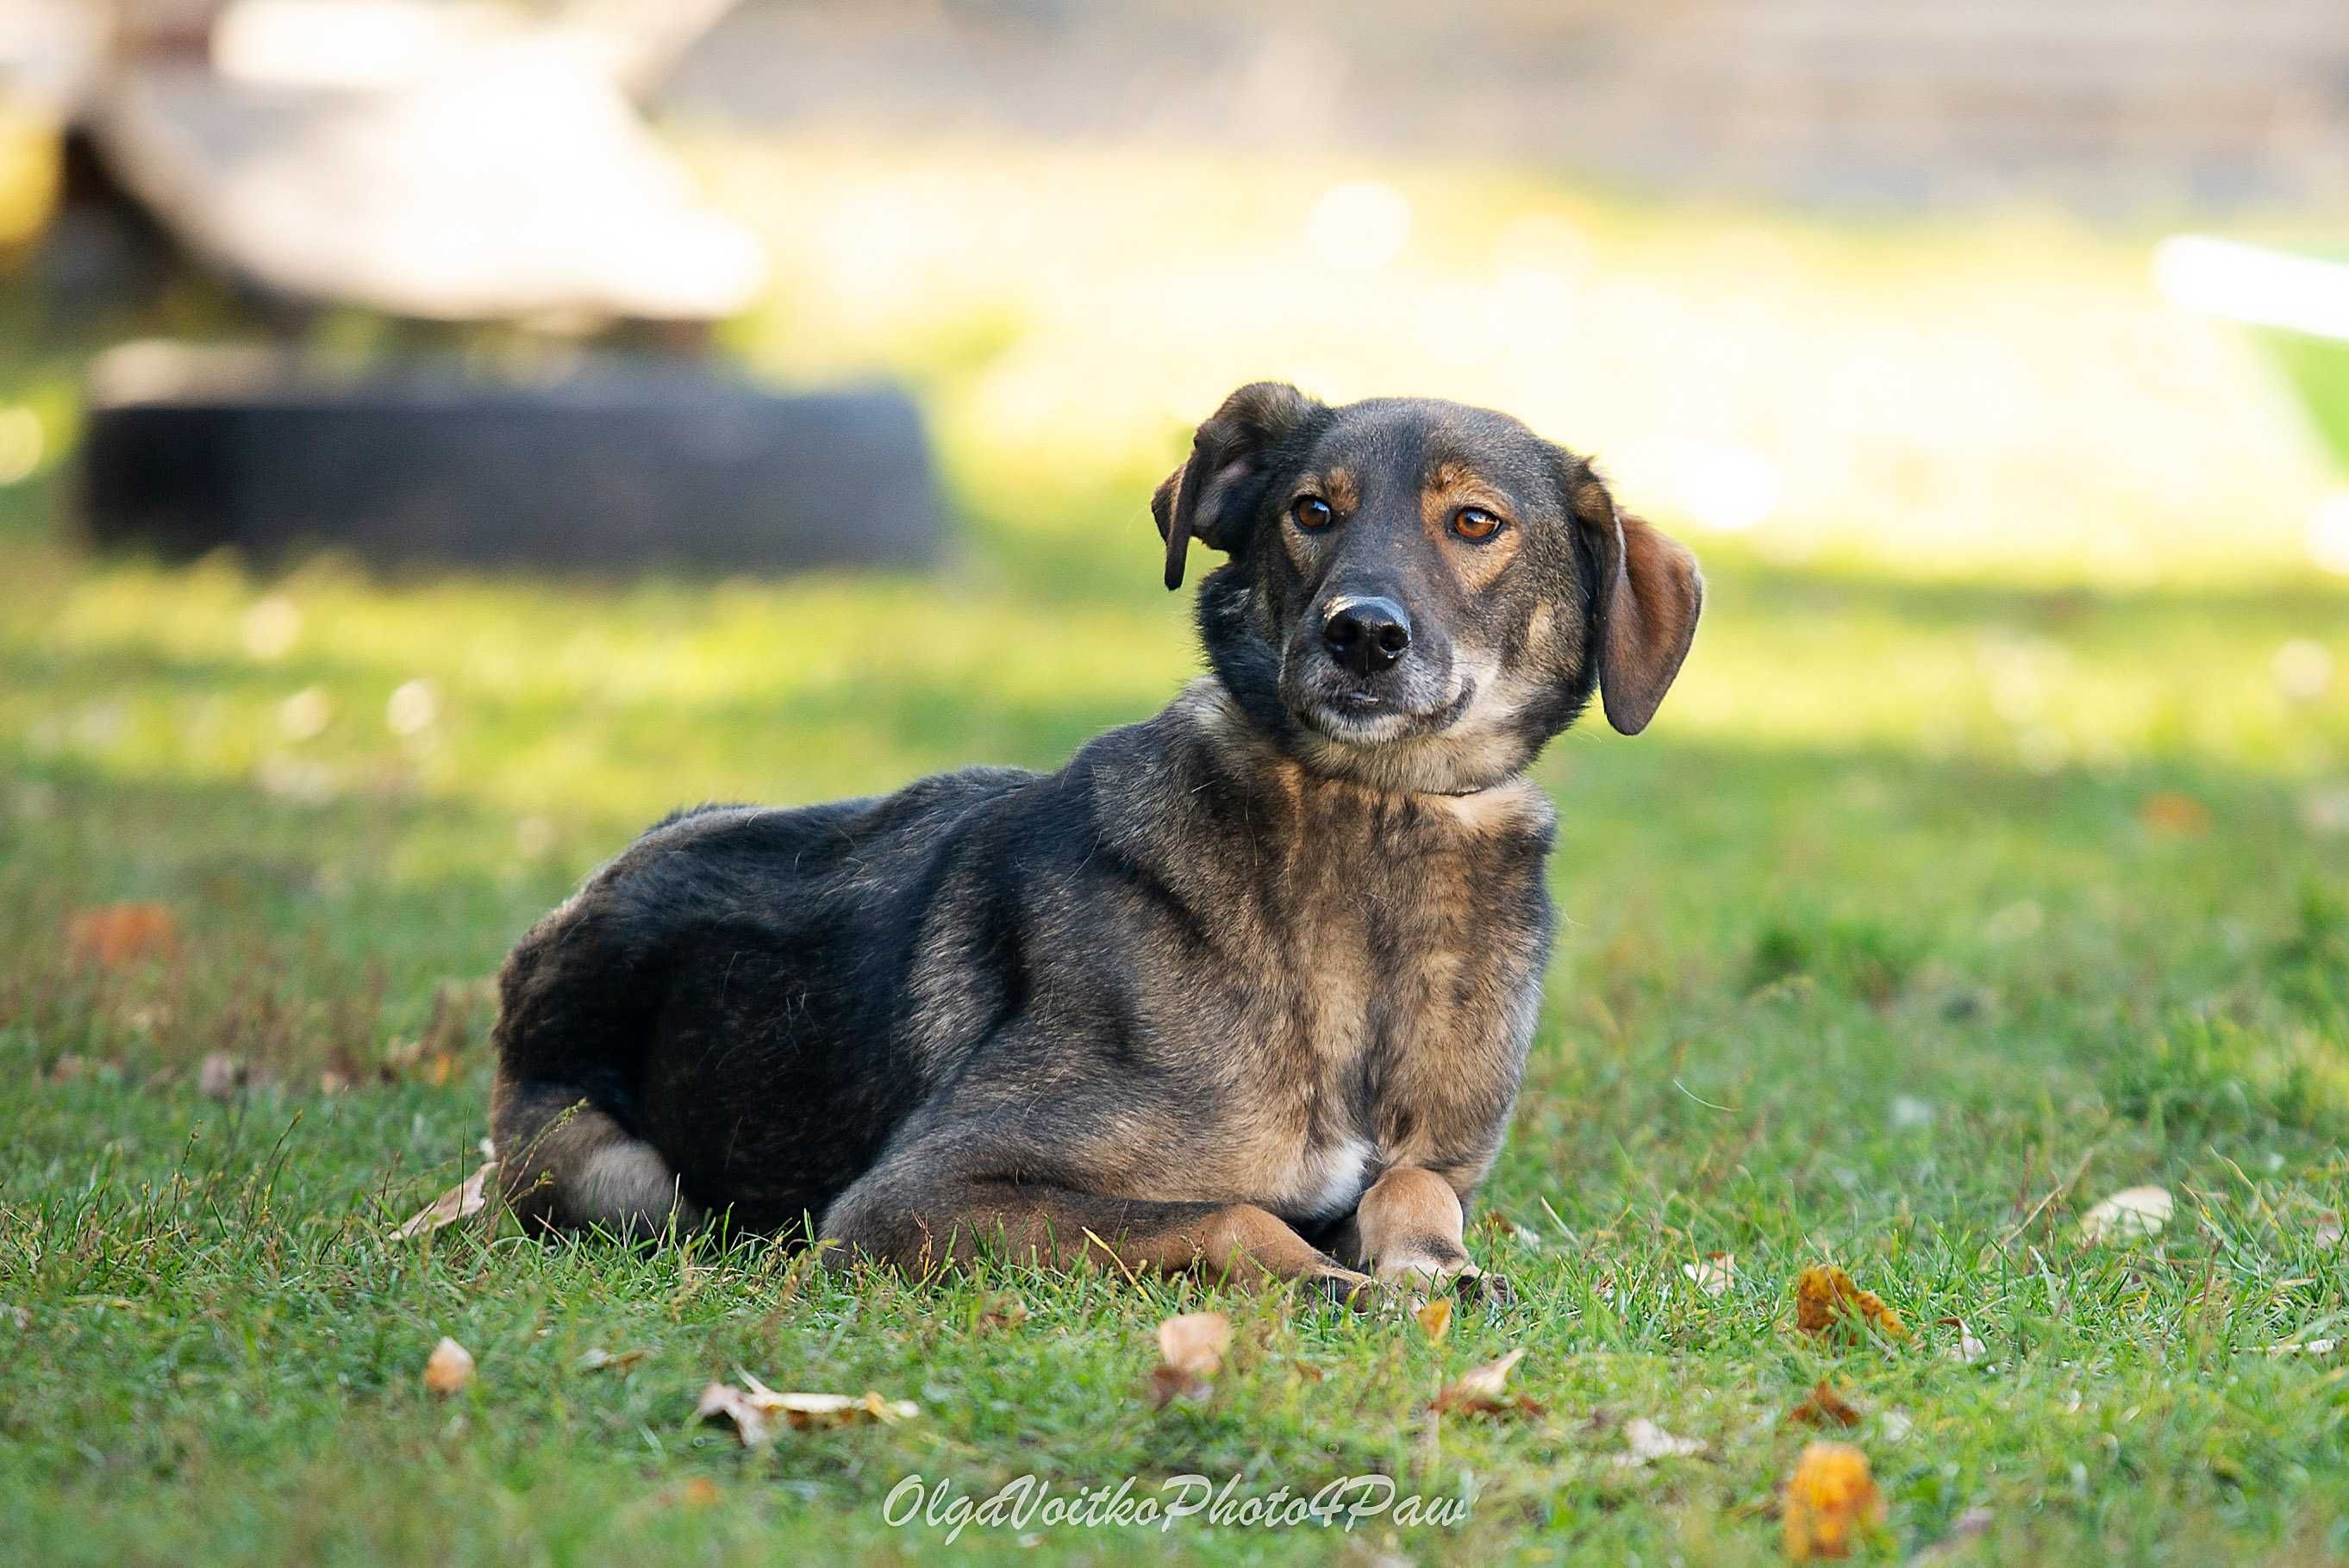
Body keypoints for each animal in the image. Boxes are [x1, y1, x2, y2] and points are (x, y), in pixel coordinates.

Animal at [486, 380, 1700, 1296]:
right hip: (616, 1178)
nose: (1360, 634)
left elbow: (1413, 1186)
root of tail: (557, 922)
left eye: (1476, 523)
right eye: (1311, 511)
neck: (1372, 829)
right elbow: (1229, 1216)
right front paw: (1333, 1279)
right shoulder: (916, 1197)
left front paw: (1433, 1266)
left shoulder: (1438, 1161)